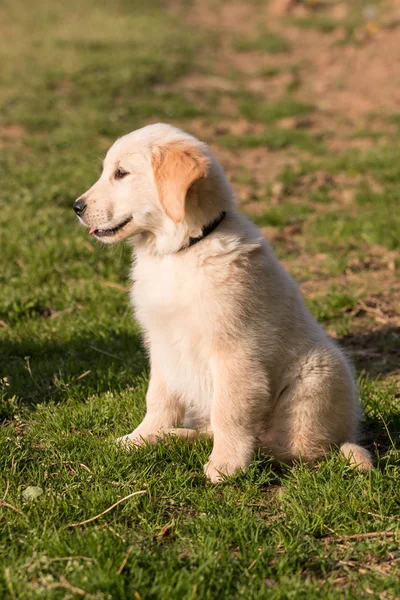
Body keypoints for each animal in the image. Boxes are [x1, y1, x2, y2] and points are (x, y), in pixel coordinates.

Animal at [74, 123, 372, 482]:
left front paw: (227, 466)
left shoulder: (234, 350)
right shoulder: (162, 345)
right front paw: (140, 437)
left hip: (318, 376)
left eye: (121, 173)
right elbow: (157, 398)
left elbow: (229, 411)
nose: (76, 206)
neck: (181, 251)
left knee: (298, 451)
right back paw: (175, 436)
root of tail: (347, 433)